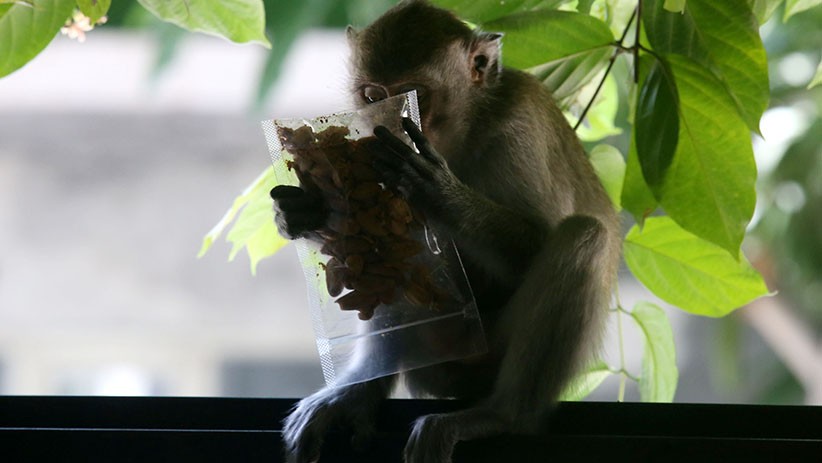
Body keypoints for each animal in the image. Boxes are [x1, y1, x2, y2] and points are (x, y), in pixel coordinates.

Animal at [268, 0, 616, 463]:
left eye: (414, 95)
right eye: (372, 96)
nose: (383, 125)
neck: (463, 132)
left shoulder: (519, 126)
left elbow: (536, 241)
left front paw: (439, 192)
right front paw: (301, 211)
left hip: (487, 354)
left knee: (584, 237)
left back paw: (501, 416)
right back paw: (362, 387)